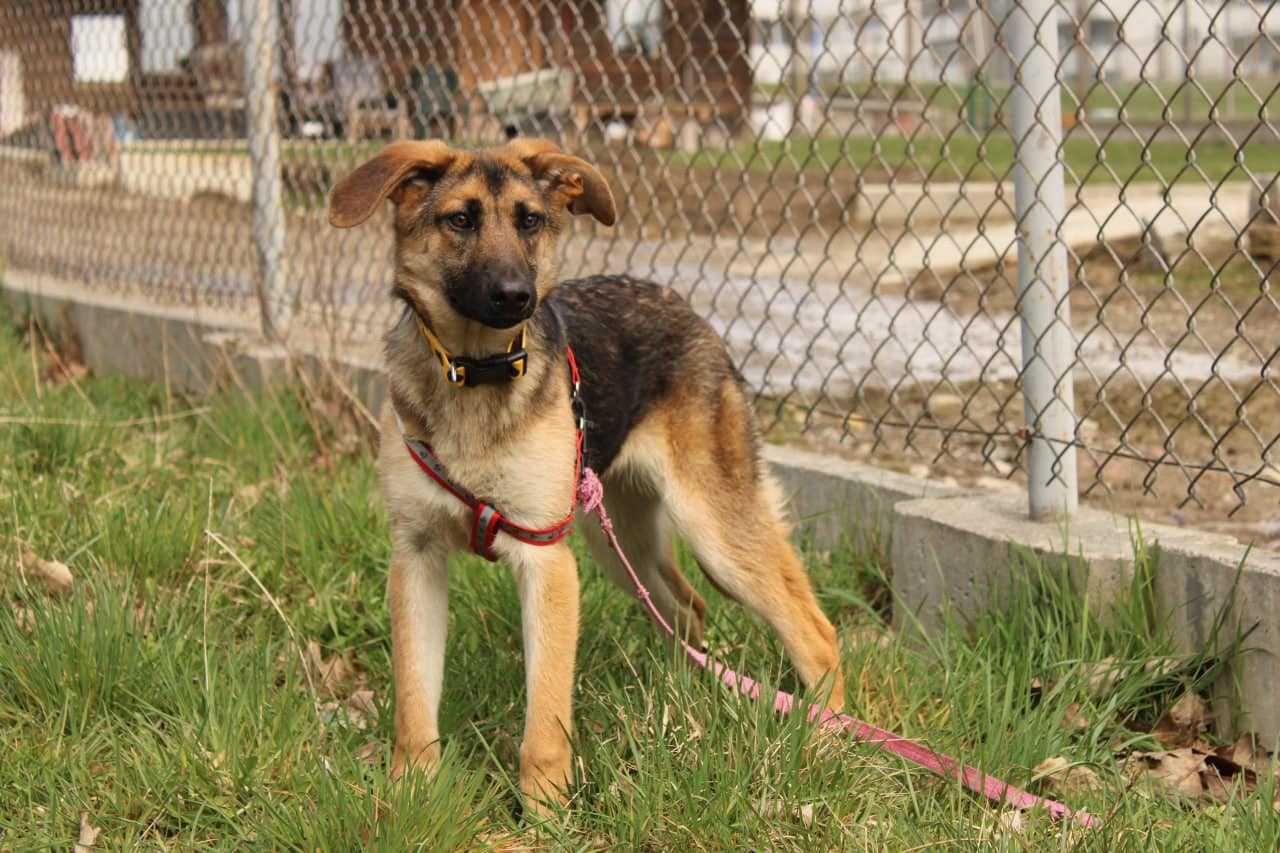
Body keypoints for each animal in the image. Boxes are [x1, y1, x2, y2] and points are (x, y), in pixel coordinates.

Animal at [325, 137, 844, 809]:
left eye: (530, 221)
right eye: (460, 220)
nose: (516, 296)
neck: (476, 373)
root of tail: (679, 303)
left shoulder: (545, 560)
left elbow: (544, 713)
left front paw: (546, 809)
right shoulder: (416, 558)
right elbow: (415, 699)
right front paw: (411, 792)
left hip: (712, 530)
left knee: (815, 632)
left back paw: (826, 745)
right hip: (616, 537)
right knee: (688, 609)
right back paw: (680, 694)